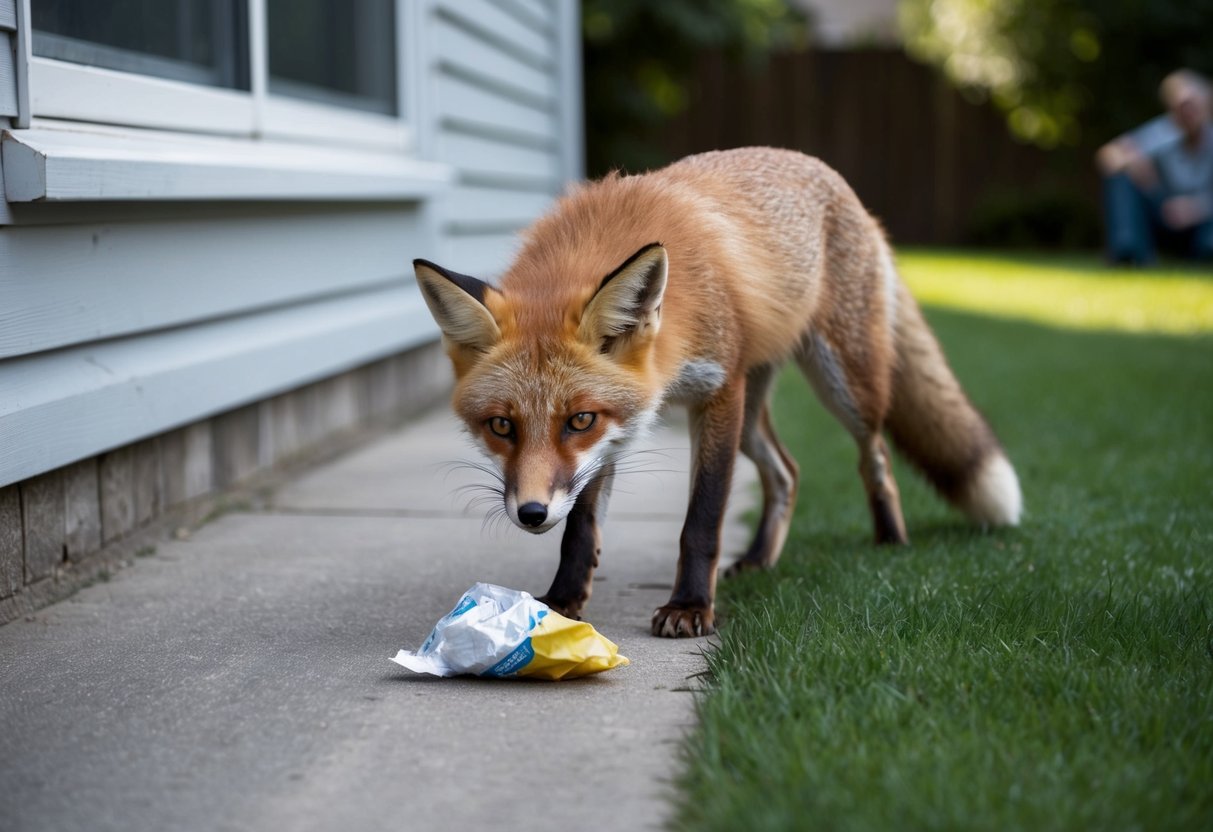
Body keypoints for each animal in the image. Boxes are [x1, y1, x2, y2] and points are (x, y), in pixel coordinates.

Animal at [413, 147, 1021, 638]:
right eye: (502, 425)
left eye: (578, 420)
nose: (533, 513)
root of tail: (830, 176)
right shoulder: (623, 429)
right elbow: (582, 528)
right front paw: (563, 603)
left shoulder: (717, 392)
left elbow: (701, 519)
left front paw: (690, 607)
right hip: (756, 415)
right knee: (787, 471)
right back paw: (759, 559)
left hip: (842, 384)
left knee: (876, 456)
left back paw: (891, 540)